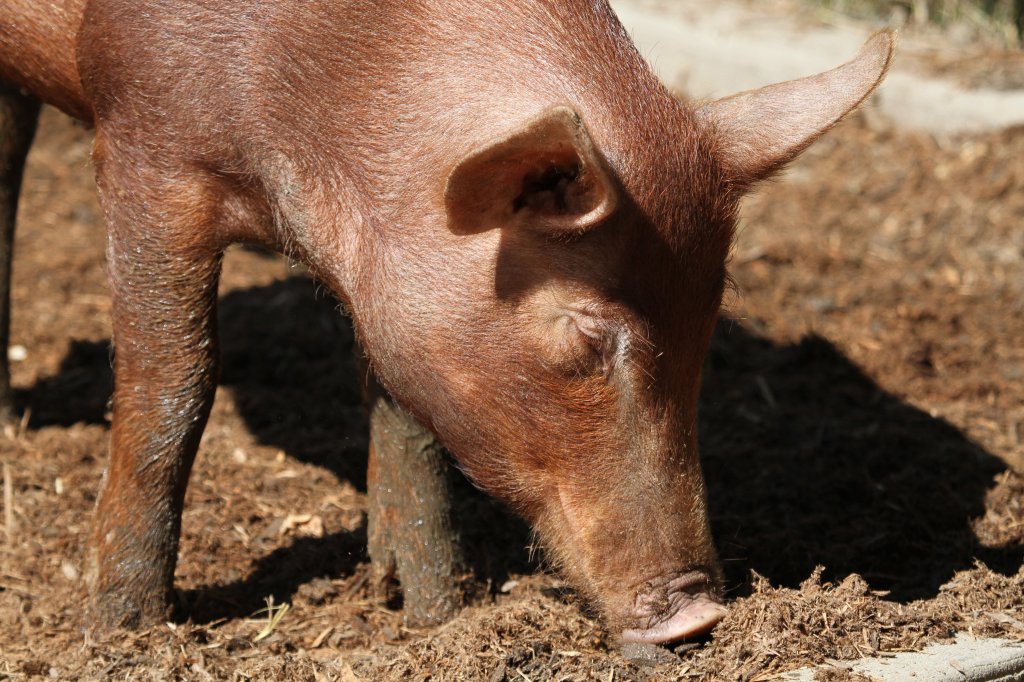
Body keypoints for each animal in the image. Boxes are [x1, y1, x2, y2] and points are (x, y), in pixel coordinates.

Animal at [0, 0, 897, 643]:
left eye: (708, 330)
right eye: (586, 335)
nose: (701, 614)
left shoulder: (399, 296)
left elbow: (407, 417)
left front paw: (433, 614)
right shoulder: (146, 148)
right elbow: (173, 388)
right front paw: (121, 634)